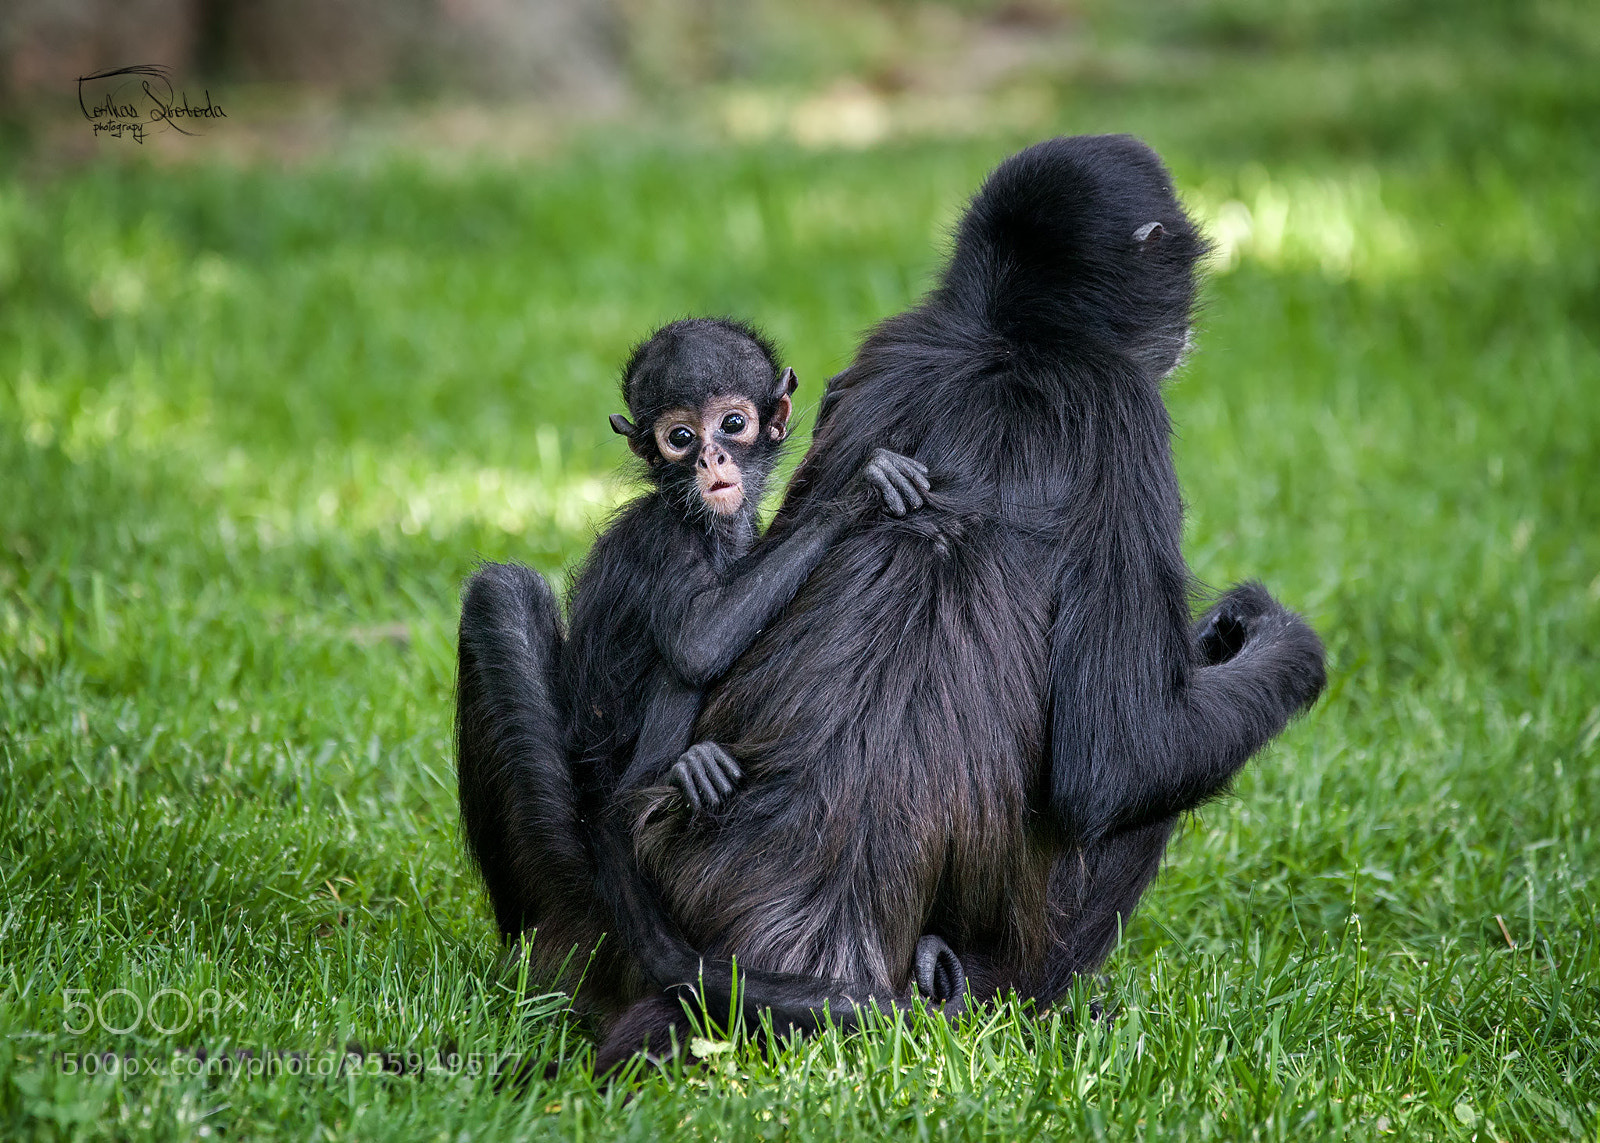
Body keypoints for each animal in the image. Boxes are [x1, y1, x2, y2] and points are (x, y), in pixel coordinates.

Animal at [458, 136, 1327, 1073]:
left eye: (731, 425)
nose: (711, 461)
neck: (1009, 339)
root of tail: (818, 931)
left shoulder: (895, 340)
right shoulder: (1124, 414)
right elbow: (1120, 761)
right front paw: (1282, 644)